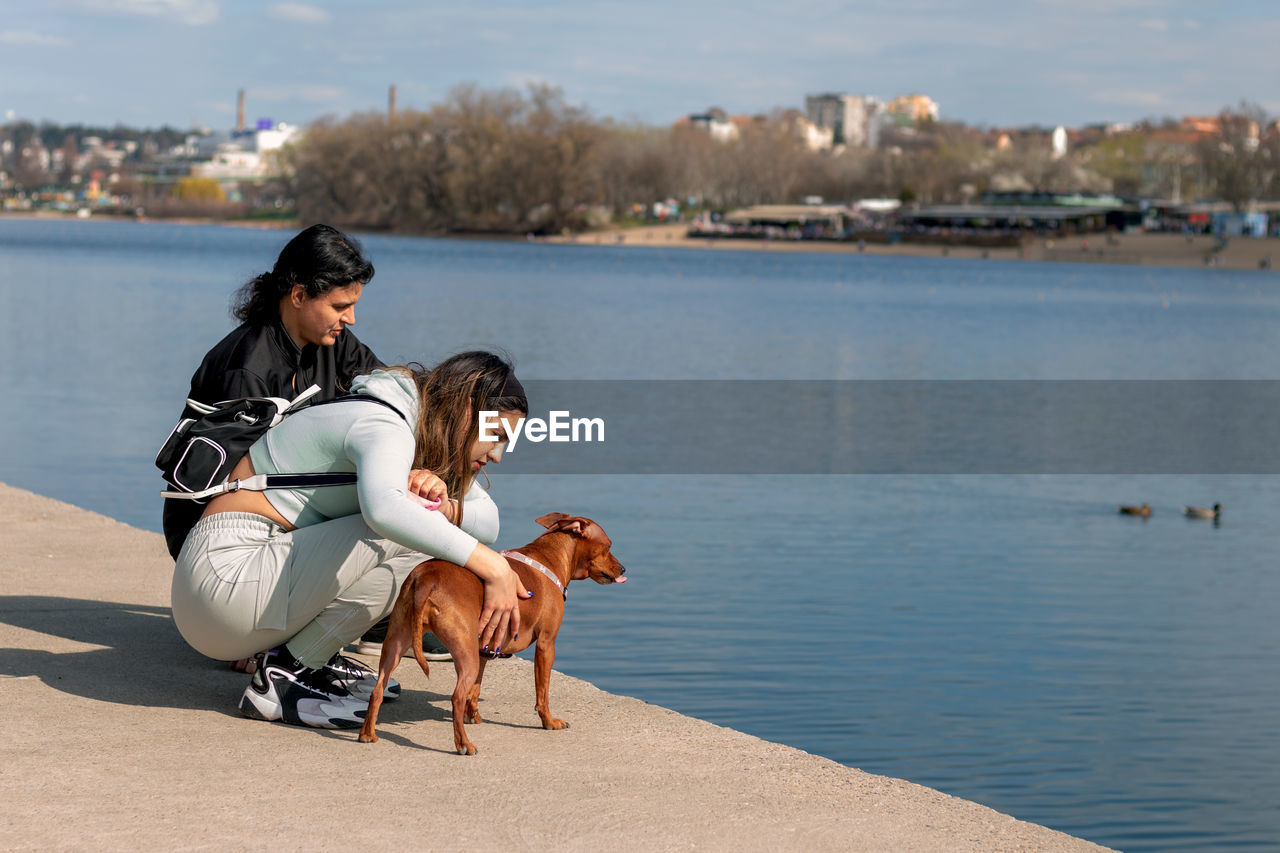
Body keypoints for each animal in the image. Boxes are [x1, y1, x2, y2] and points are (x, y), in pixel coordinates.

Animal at [358, 512, 627, 753]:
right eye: (608, 546)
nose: (624, 568)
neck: (549, 557)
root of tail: (426, 578)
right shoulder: (546, 645)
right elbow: (543, 692)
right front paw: (549, 722)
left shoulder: (485, 649)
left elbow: (476, 689)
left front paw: (473, 716)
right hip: (465, 653)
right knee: (456, 697)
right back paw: (464, 745)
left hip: (396, 644)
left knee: (377, 690)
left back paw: (367, 734)